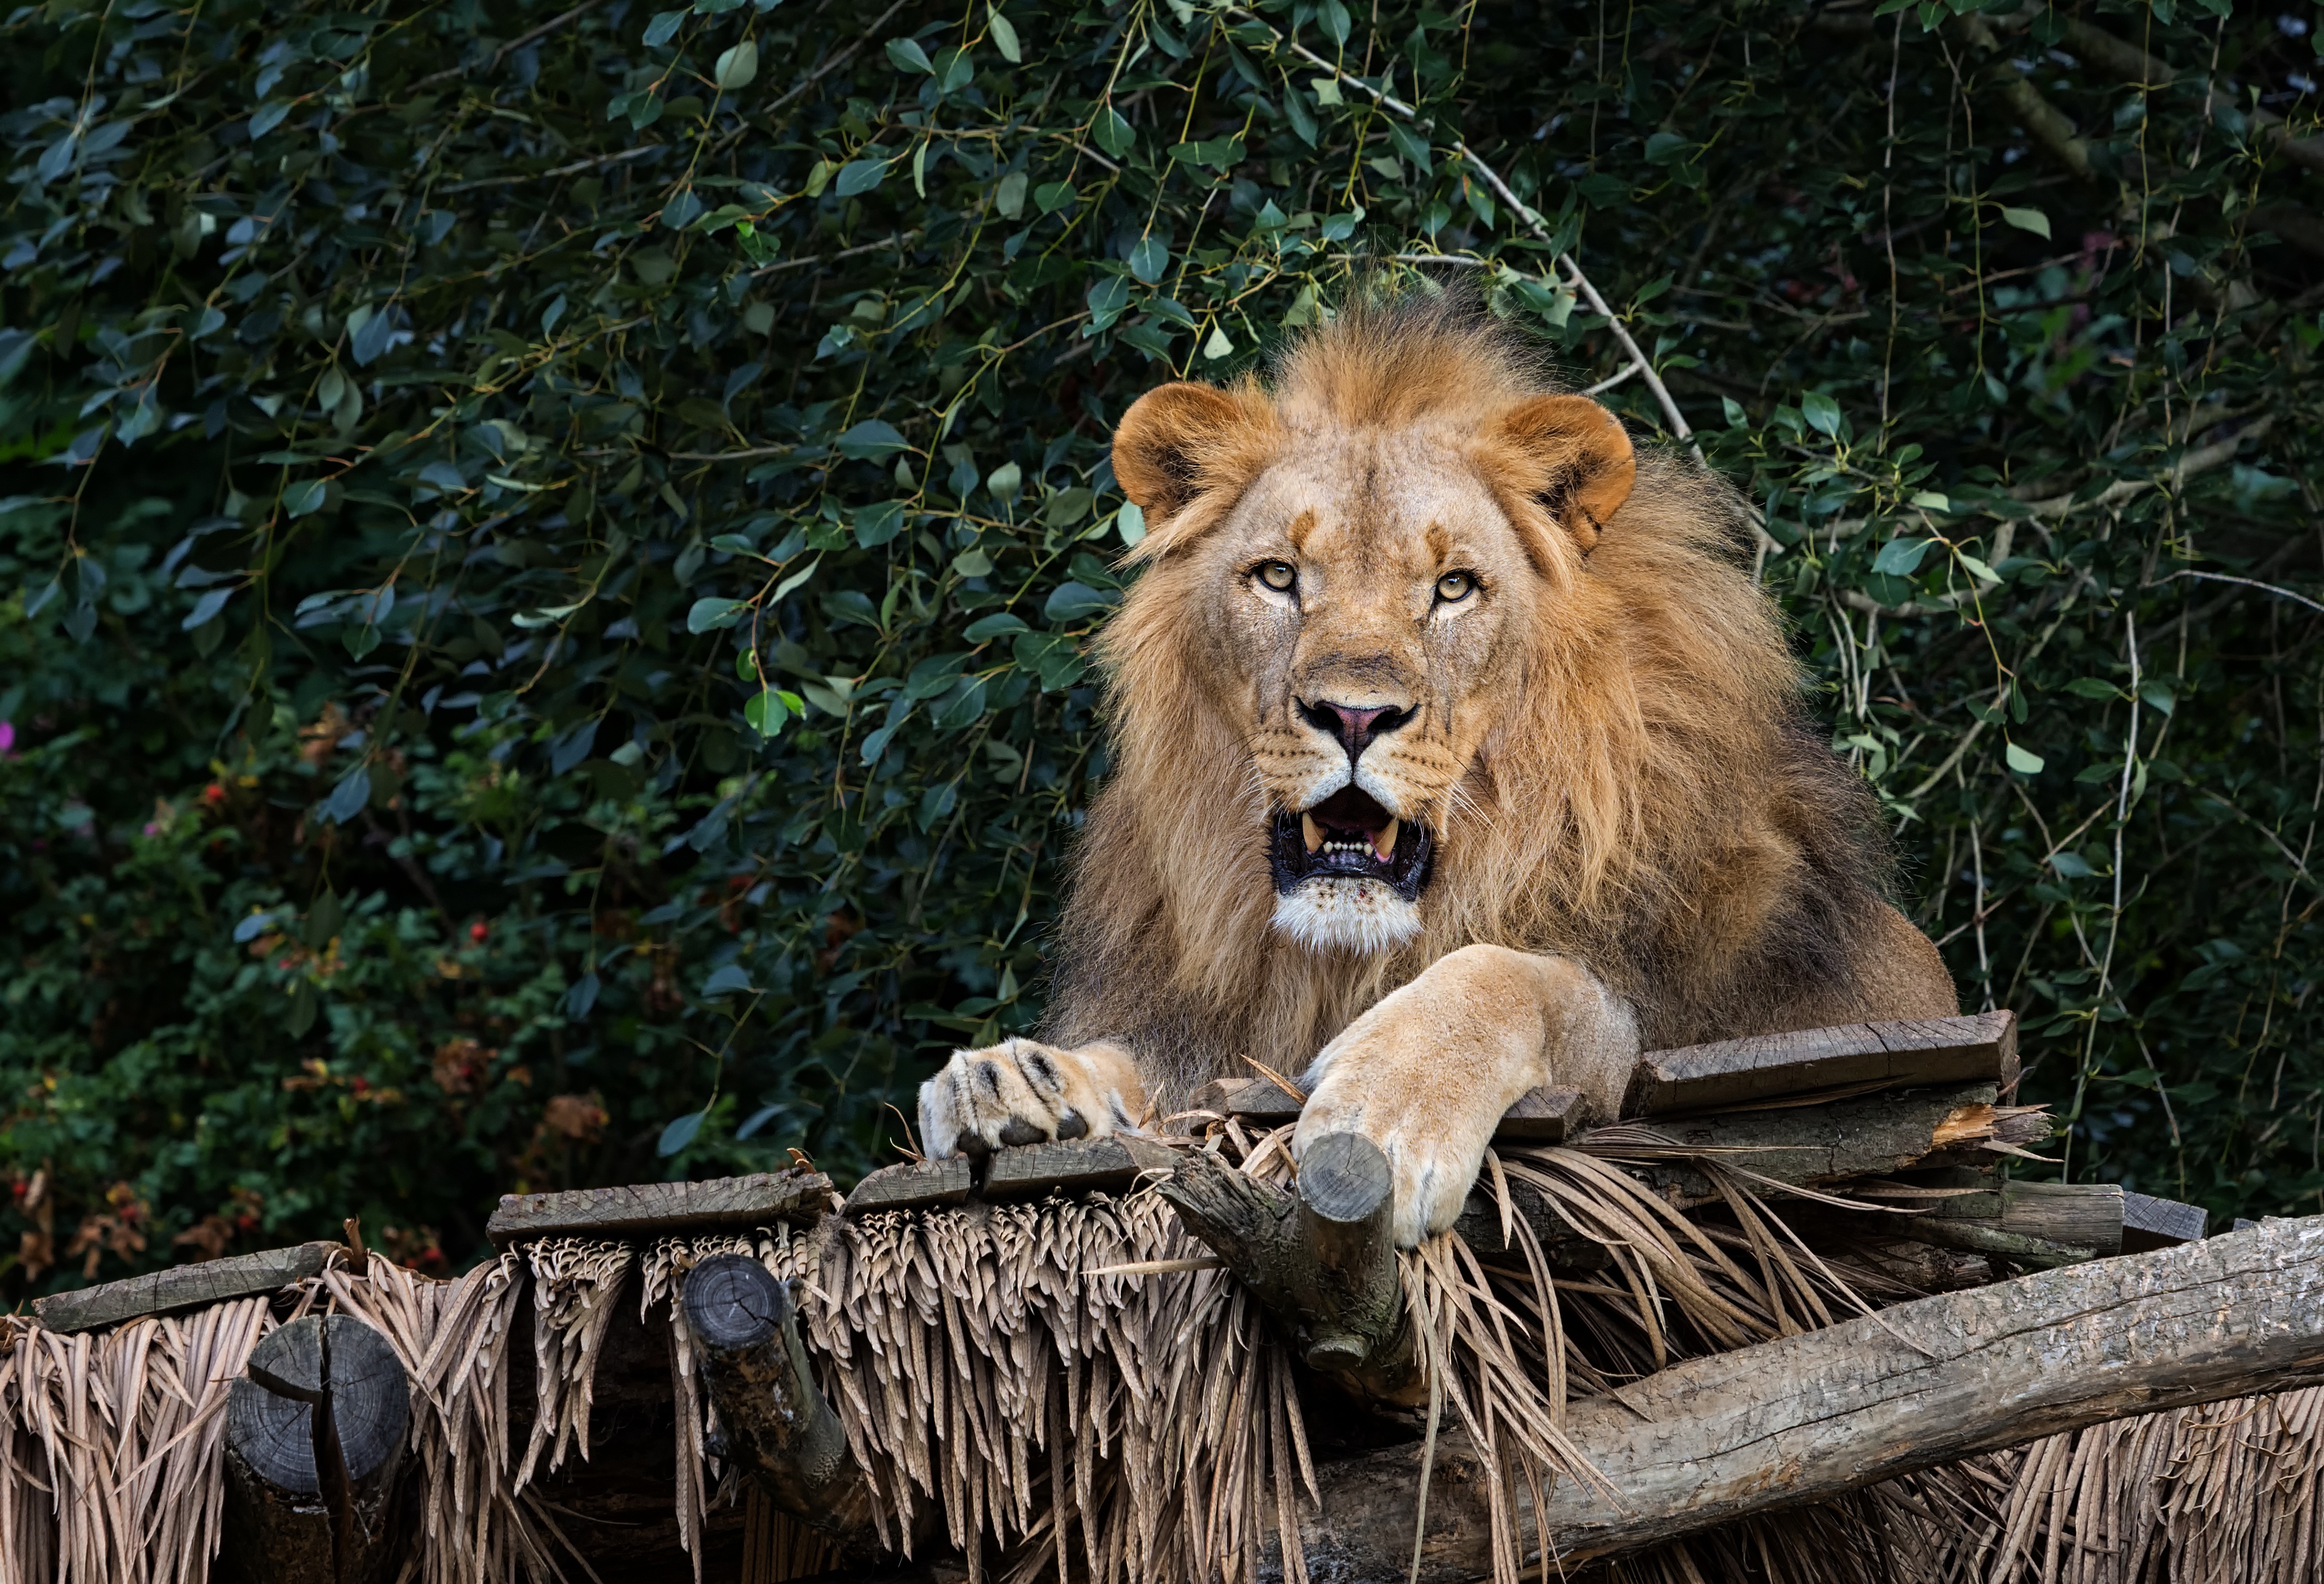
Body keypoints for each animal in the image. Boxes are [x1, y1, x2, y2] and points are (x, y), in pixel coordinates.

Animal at [915, 290, 1952, 1236]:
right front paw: (1016, 1078)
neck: (1342, 961)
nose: (1354, 714)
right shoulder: (1199, 1028)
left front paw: (1384, 1110)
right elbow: (1139, 1064)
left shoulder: (1671, 1027)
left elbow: (1514, 975)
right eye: (1278, 577)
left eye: (1453, 588)